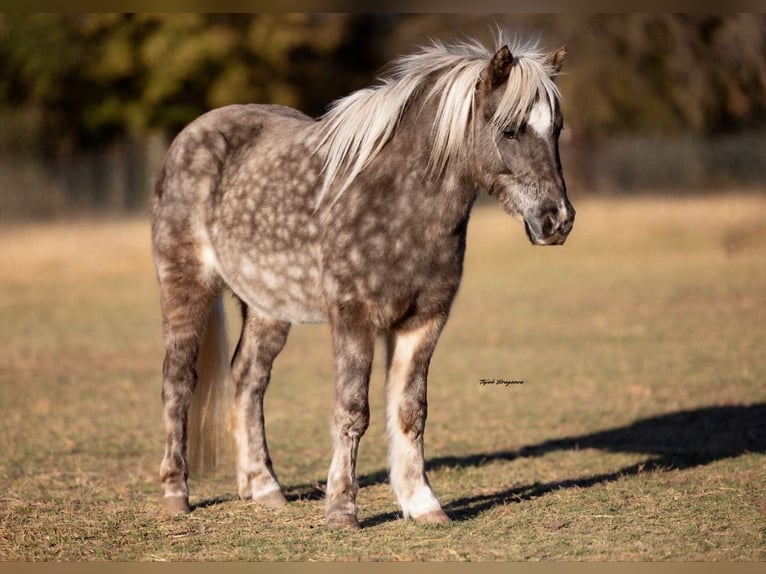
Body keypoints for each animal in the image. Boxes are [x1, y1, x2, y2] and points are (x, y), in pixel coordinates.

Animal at [151, 30, 575, 530]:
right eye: (509, 129)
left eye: (557, 128)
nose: (557, 221)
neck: (398, 201)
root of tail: (189, 136)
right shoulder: (353, 317)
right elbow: (353, 411)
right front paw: (341, 510)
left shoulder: (425, 320)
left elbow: (411, 412)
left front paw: (423, 503)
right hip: (185, 284)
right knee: (178, 380)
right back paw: (176, 493)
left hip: (266, 306)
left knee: (249, 379)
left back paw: (265, 487)